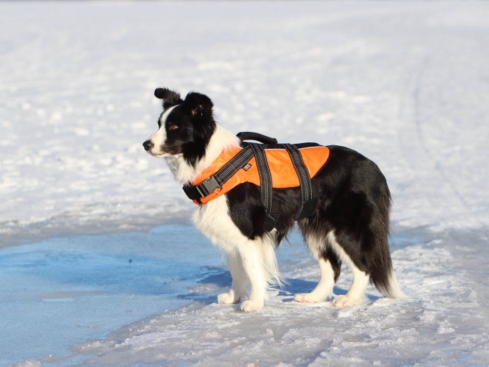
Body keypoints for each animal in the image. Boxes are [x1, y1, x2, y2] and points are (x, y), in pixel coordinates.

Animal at [143, 88, 406, 314]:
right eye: (159, 124)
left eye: (174, 126)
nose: (146, 144)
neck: (214, 162)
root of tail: (373, 167)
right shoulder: (230, 231)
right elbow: (236, 270)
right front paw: (233, 298)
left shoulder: (248, 232)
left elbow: (252, 270)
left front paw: (254, 303)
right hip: (315, 228)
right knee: (332, 267)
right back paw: (313, 297)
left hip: (345, 228)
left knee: (363, 266)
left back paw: (349, 300)